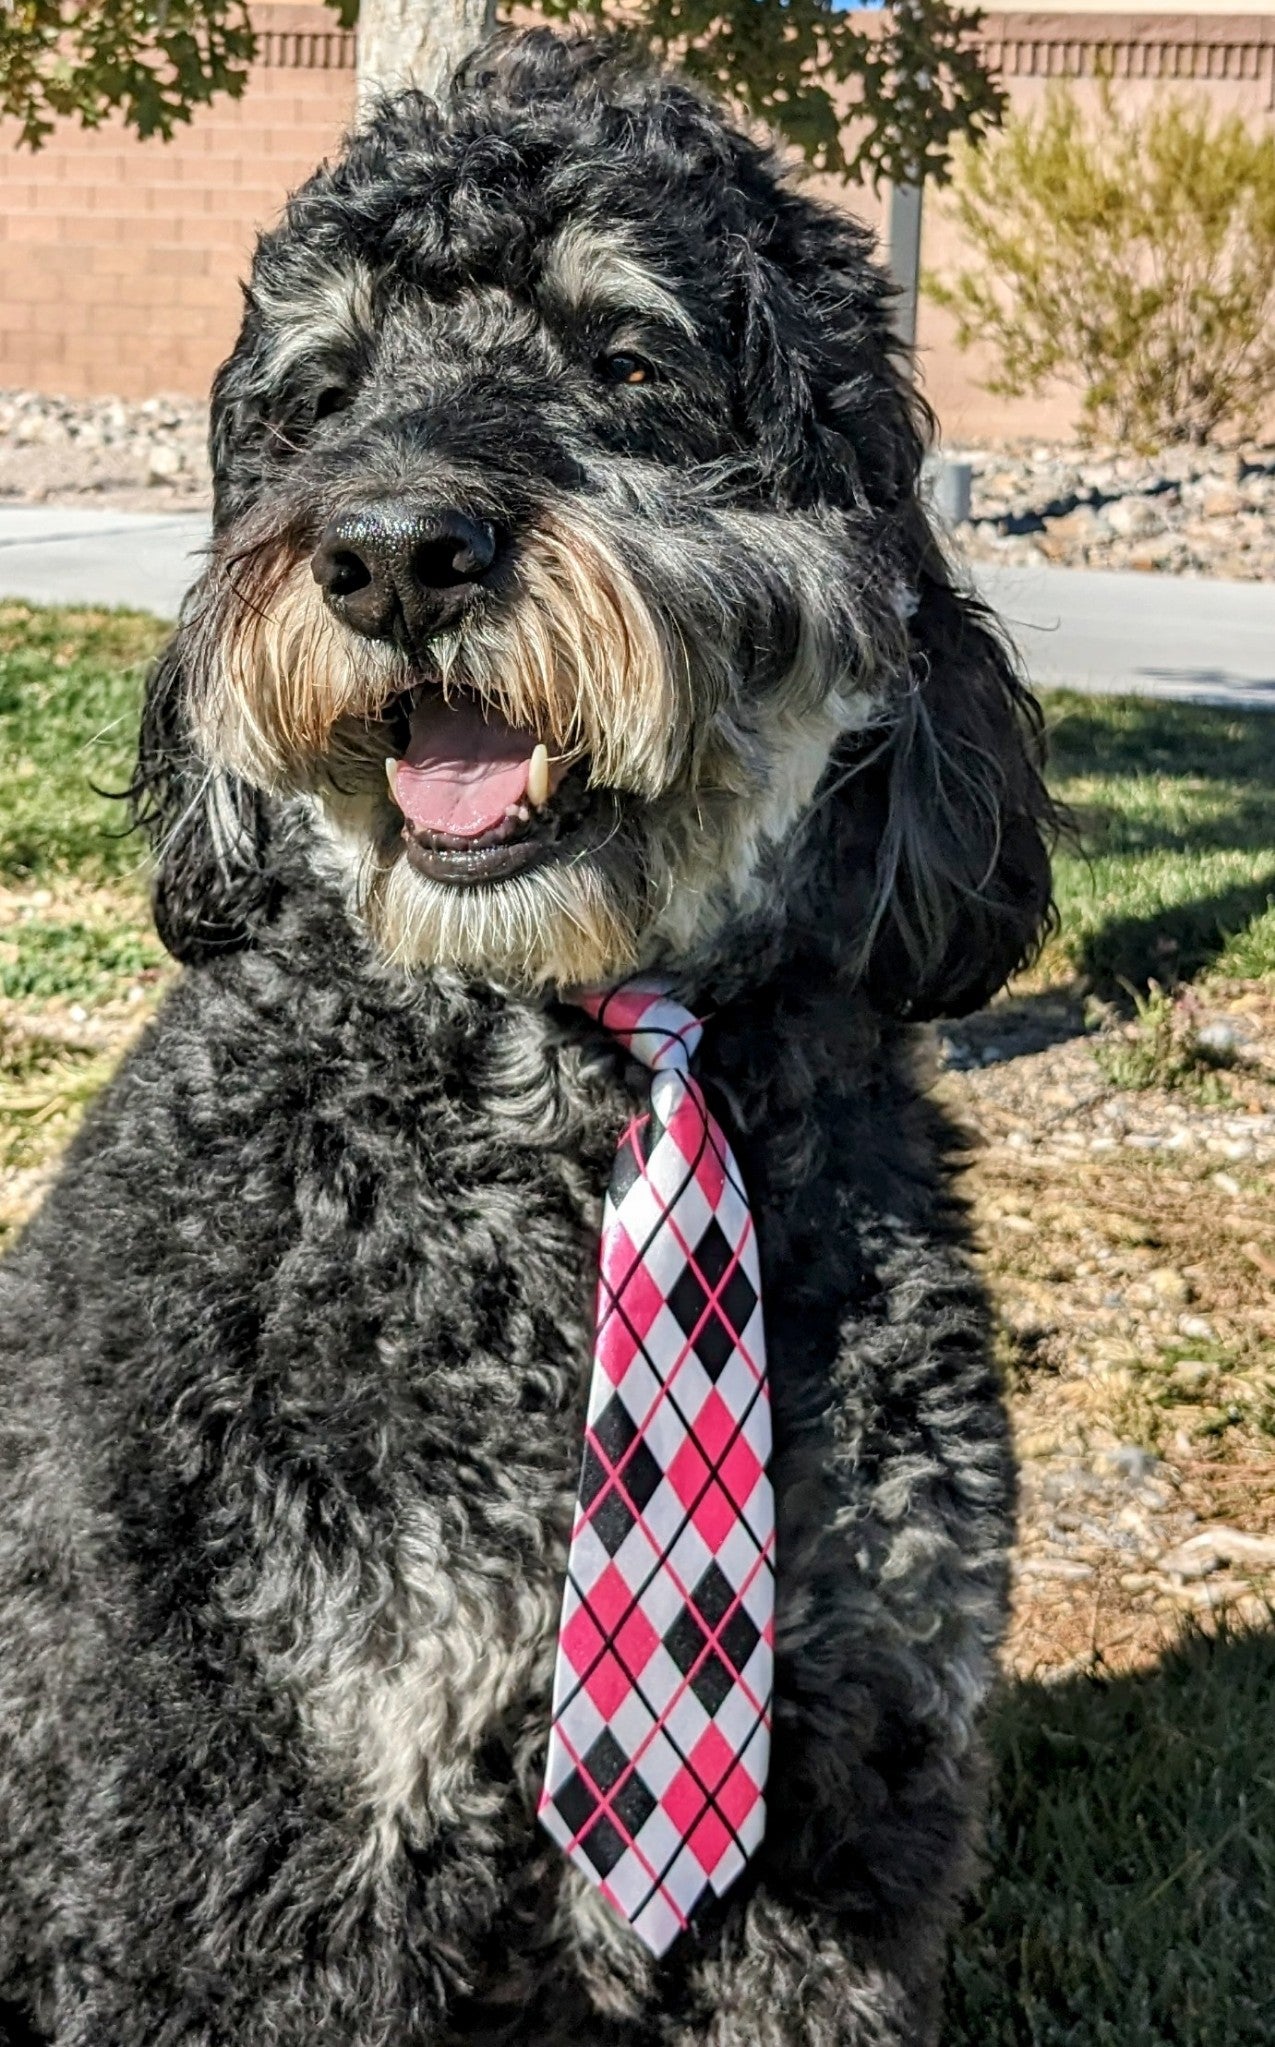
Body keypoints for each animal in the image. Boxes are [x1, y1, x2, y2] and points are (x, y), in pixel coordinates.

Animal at [0, 31, 1056, 2046]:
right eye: (321, 398)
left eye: (625, 360)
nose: (395, 550)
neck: (578, 1084)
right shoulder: (253, 1824)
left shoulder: (834, 1794)